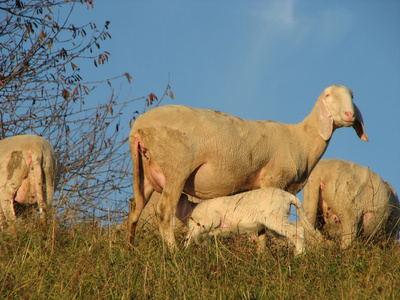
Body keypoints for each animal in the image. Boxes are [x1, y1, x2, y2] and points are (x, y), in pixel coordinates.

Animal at [129, 84, 368, 248]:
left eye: (352, 97)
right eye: (328, 95)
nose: (350, 115)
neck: (301, 139)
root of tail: (137, 128)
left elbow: (260, 226)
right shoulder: (274, 178)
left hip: (145, 173)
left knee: (135, 209)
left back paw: (130, 249)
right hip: (176, 166)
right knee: (163, 210)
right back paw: (174, 252)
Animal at [183, 188, 320, 255]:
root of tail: (289, 196)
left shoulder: (202, 224)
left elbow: (188, 238)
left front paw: (184, 254)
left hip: (275, 218)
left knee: (296, 231)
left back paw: (299, 255)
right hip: (277, 222)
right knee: (298, 230)